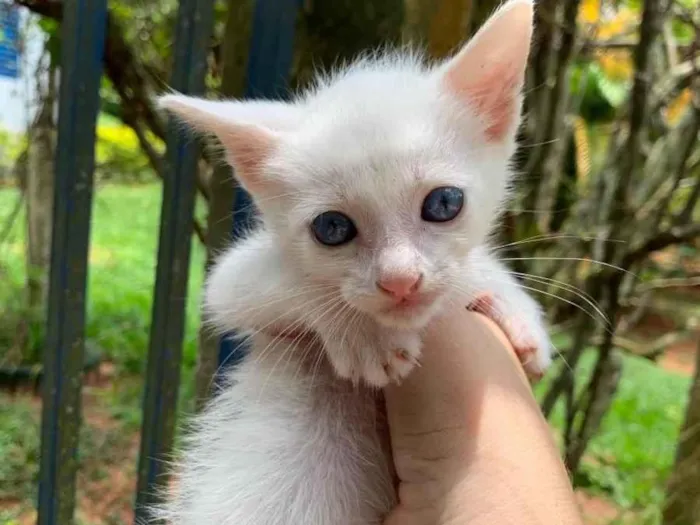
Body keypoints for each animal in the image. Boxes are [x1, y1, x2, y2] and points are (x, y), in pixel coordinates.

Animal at [156, 2, 548, 520]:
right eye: (332, 228)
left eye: (444, 203)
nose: (401, 280)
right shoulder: (233, 277)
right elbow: (288, 283)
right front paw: (365, 336)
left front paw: (520, 316)